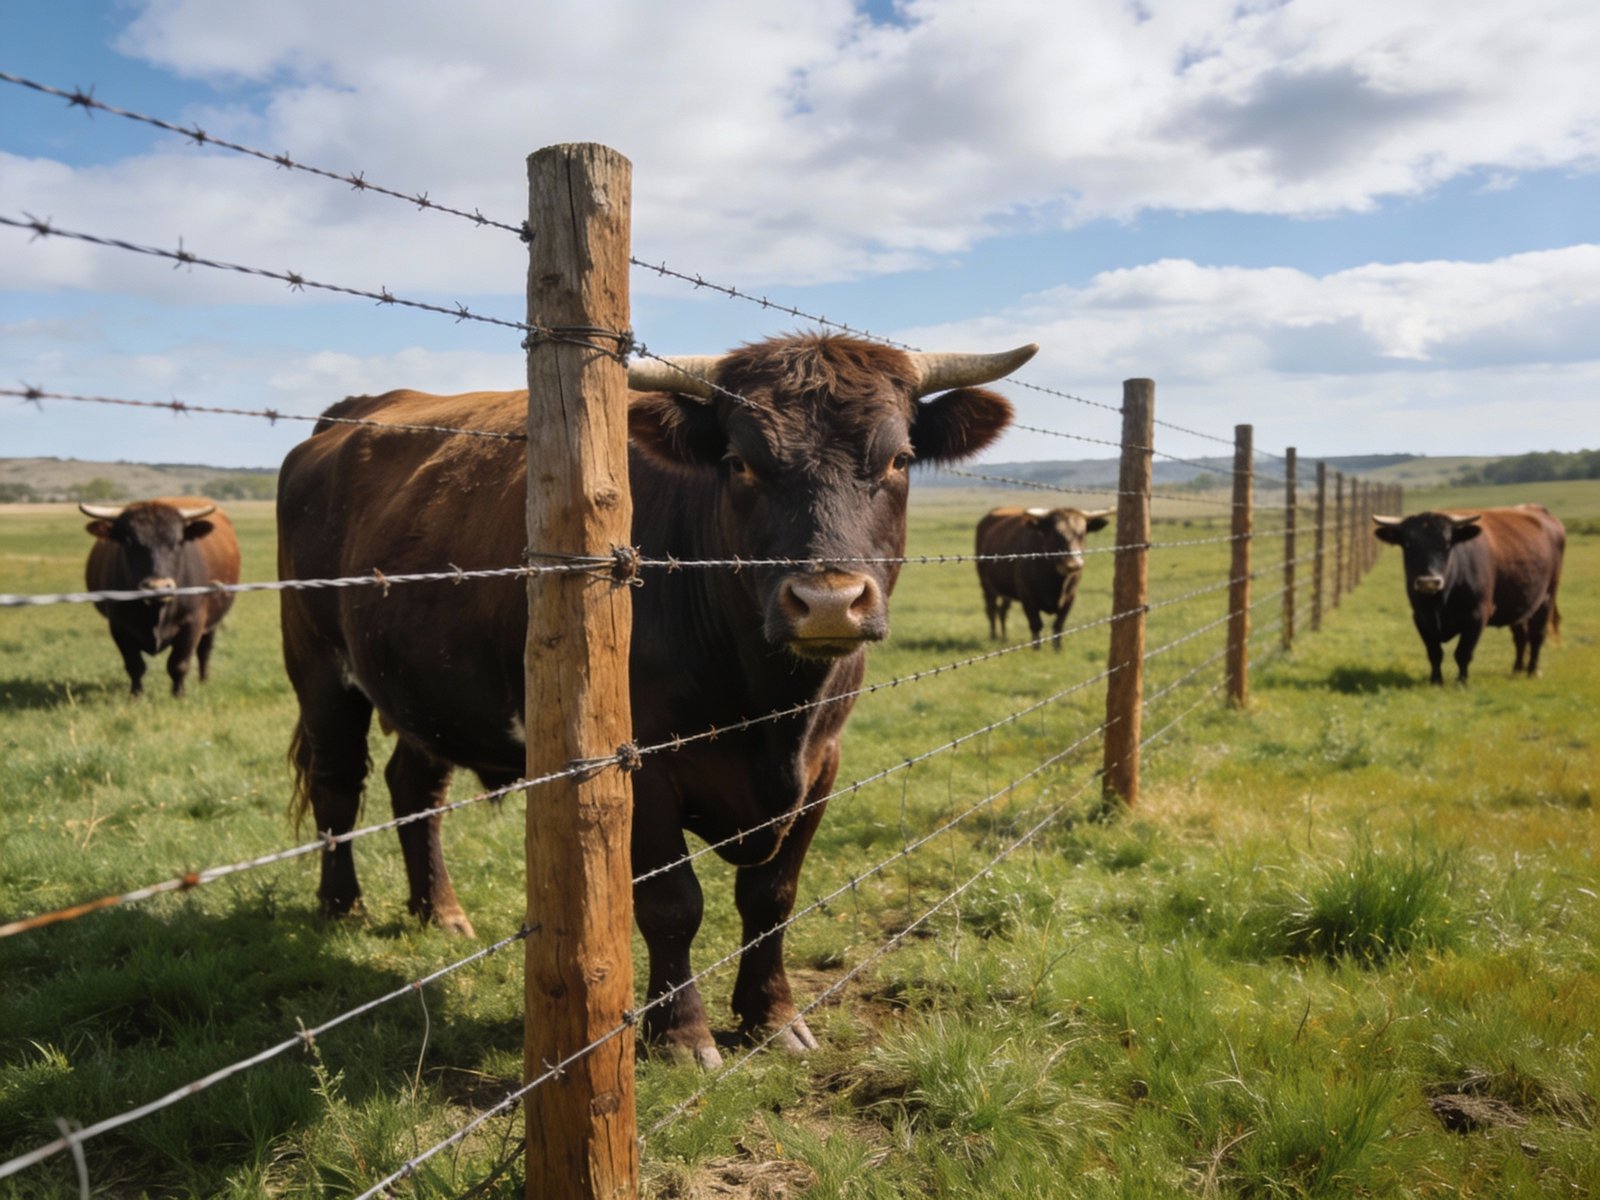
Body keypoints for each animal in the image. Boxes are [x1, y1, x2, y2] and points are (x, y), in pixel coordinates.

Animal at [81, 497, 240, 697]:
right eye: (129, 541)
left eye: (179, 541)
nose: (158, 587)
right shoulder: (118, 626)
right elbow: (135, 665)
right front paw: (136, 695)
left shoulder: (193, 623)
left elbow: (179, 664)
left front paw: (178, 695)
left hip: (212, 621)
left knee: (205, 651)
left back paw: (204, 681)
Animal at [276, 333, 1035, 1066]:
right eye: (739, 462)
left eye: (899, 459)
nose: (827, 602)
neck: (770, 712)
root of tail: (351, 414)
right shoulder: (640, 767)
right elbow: (673, 903)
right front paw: (682, 1034)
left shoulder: (823, 763)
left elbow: (772, 896)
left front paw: (773, 1017)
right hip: (319, 667)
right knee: (339, 783)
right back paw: (341, 906)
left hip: (428, 689)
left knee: (416, 789)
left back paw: (439, 911)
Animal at [975, 505, 1112, 649]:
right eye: (1055, 534)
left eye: (1082, 533)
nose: (1073, 564)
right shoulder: (1027, 597)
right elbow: (1036, 625)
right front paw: (1037, 649)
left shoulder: (1070, 596)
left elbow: (1058, 626)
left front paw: (1057, 649)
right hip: (986, 585)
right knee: (991, 610)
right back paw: (993, 636)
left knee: (1002, 611)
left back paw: (1004, 638)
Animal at [1372, 504, 1564, 685]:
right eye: (1408, 544)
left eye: (1447, 544)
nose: (1429, 581)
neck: (1439, 603)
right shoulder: (1421, 618)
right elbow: (1434, 652)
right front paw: (1436, 681)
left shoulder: (1477, 616)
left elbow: (1463, 653)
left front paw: (1461, 682)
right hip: (1519, 605)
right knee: (1520, 637)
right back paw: (1517, 669)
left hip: (1546, 599)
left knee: (1537, 636)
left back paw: (1532, 671)